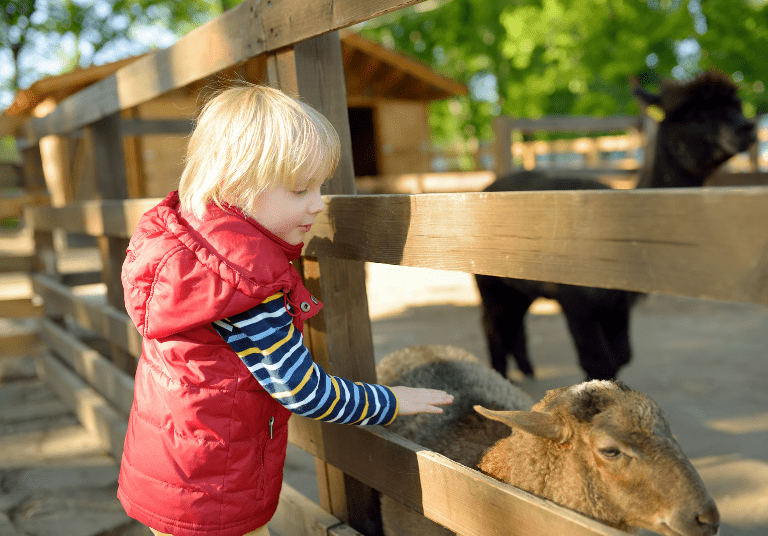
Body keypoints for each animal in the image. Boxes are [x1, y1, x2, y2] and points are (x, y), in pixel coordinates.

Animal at [476, 71, 760, 382]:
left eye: (737, 106)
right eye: (696, 114)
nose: (747, 127)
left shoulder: (619, 303)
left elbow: (622, 357)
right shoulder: (576, 300)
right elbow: (599, 362)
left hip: (517, 284)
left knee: (513, 323)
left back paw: (525, 372)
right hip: (488, 281)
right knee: (493, 327)